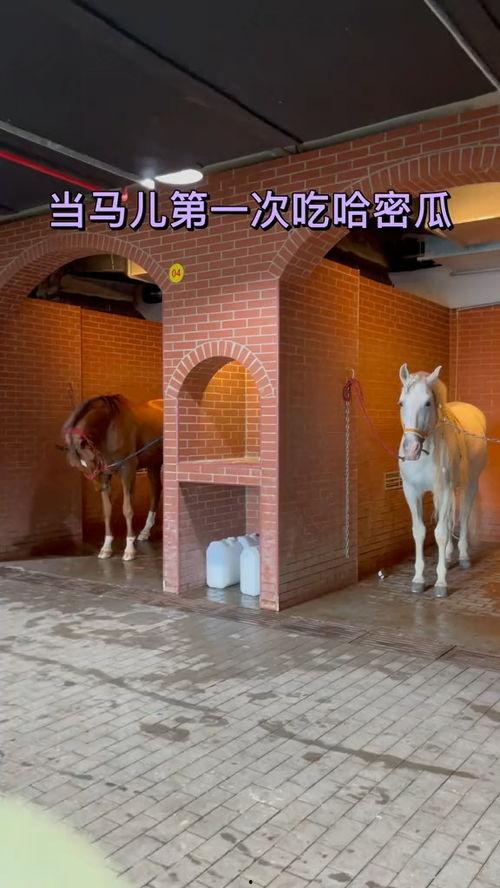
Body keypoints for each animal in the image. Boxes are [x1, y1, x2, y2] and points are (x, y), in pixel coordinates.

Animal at [61, 395, 163, 561]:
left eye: (90, 459)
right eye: (77, 466)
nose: (99, 488)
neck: (110, 427)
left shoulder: (128, 470)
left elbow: (127, 508)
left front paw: (129, 549)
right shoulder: (105, 474)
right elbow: (107, 510)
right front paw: (106, 547)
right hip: (153, 465)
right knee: (155, 492)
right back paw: (145, 531)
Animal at [398, 363, 487, 597]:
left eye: (428, 403)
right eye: (401, 403)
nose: (410, 450)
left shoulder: (446, 490)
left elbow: (440, 533)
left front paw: (440, 583)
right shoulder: (412, 491)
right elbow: (420, 531)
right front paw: (418, 579)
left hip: (469, 484)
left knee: (462, 517)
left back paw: (463, 557)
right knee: (448, 521)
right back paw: (447, 556)